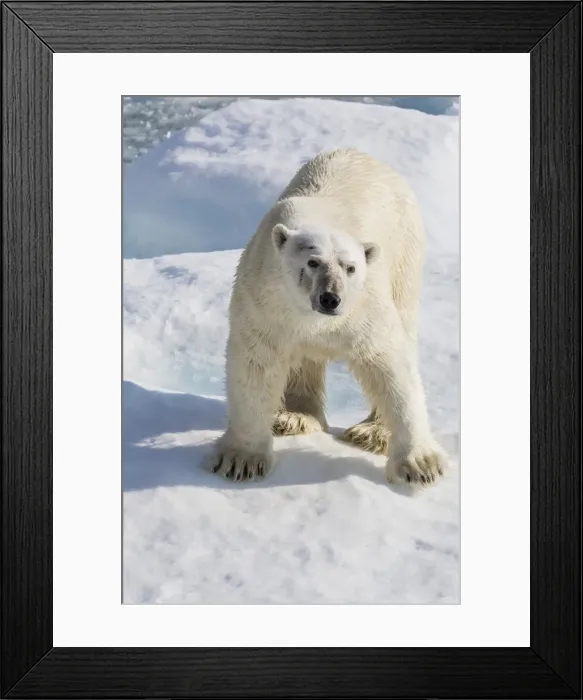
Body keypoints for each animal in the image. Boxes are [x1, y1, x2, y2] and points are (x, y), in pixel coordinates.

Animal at [207, 147, 449, 487]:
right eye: (312, 262)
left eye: (350, 268)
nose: (330, 298)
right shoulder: (263, 302)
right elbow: (257, 364)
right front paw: (241, 460)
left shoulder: (365, 307)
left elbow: (388, 363)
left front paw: (421, 465)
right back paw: (293, 416)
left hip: (405, 256)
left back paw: (370, 432)